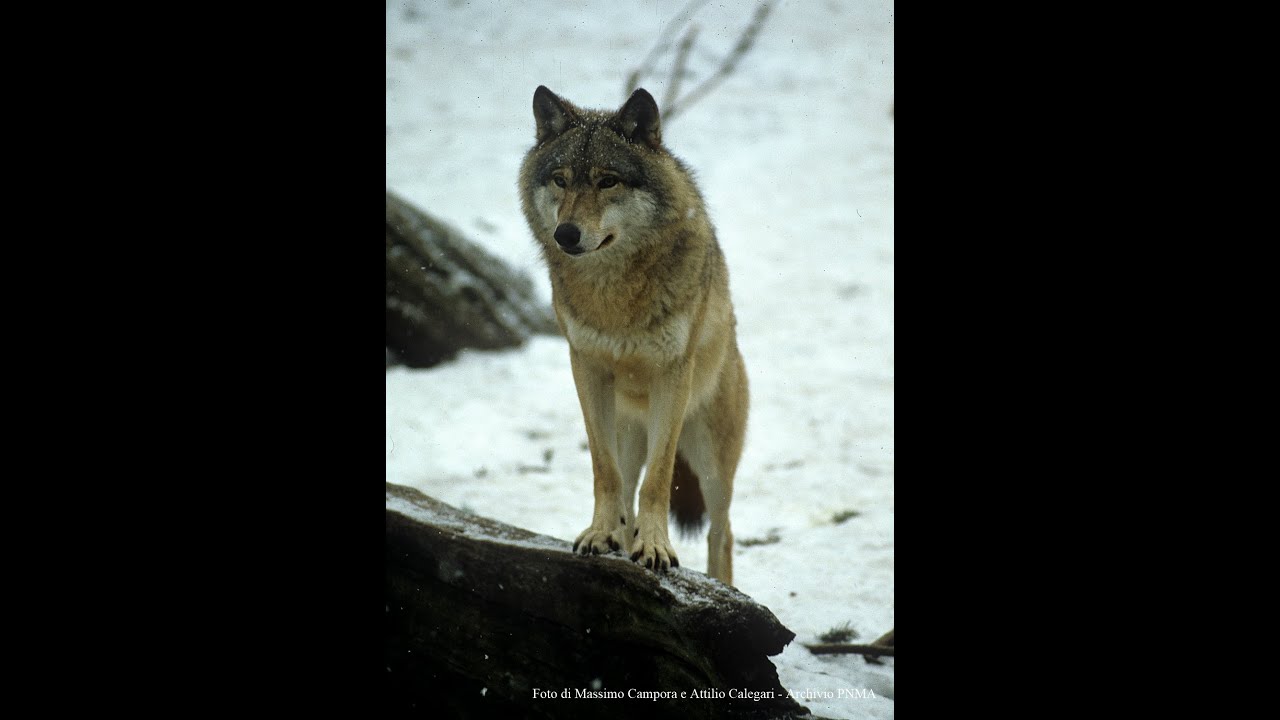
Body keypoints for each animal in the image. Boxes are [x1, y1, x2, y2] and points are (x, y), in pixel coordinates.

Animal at [518, 85, 749, 585]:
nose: (566, 234)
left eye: (608, 182)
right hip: (628, 434)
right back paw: (618, 539)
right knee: (627, 491)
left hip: (711, 463)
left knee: (721, 533)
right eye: (561, 180)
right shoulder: (586, 368)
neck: (614, 296)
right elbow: (604, 473)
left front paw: (656, 547)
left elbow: (658, 480)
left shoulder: (672, 374)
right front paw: (598, 535)